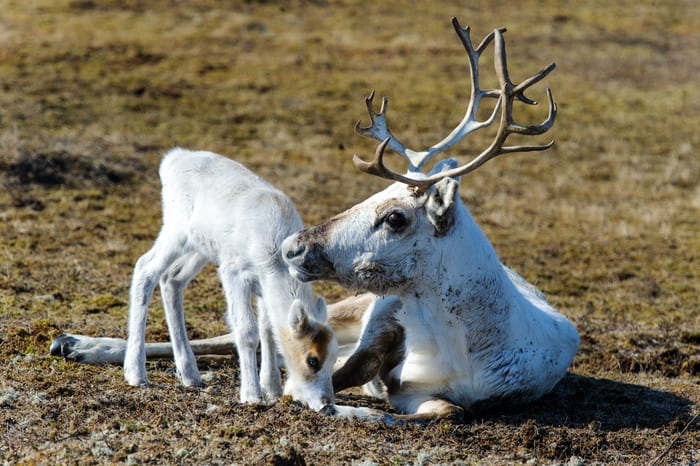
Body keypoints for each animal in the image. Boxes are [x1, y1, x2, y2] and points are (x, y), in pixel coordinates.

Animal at [51, 148, 340, 410]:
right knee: (145, 268)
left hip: (199, 248)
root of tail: (172, 160)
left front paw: (272, 390)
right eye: (312, 360)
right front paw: (251, 395)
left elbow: (268, 330)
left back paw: (190, 374)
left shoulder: (262, 287)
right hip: (176, 230)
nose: (326, 404)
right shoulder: (234, 272)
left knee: (171, 279)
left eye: (335, 354)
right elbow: (247, 330)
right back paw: (135, 373)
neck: (276, 261)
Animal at [281, 18, 580, 422]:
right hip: (365, 307)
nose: (292, 246)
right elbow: (353, 367)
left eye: (396, 218)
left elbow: (439, 410)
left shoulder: (425, 395)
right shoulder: (383, 320)